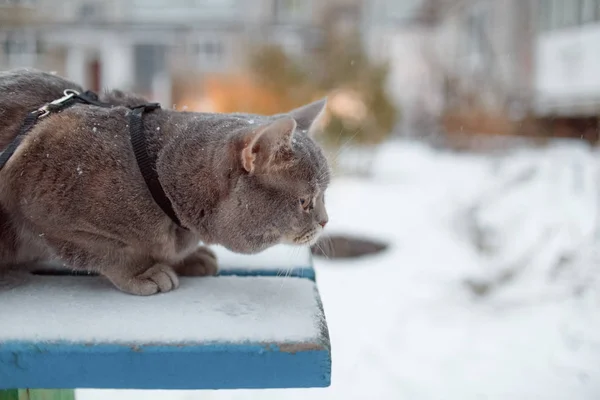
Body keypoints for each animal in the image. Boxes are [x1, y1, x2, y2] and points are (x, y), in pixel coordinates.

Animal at [0, 69, 328, 294]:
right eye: (305, 202)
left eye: (324, 195)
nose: (325, 221)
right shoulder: (34, 201)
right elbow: (110, 251)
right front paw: (144, 271)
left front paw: (188, 256)